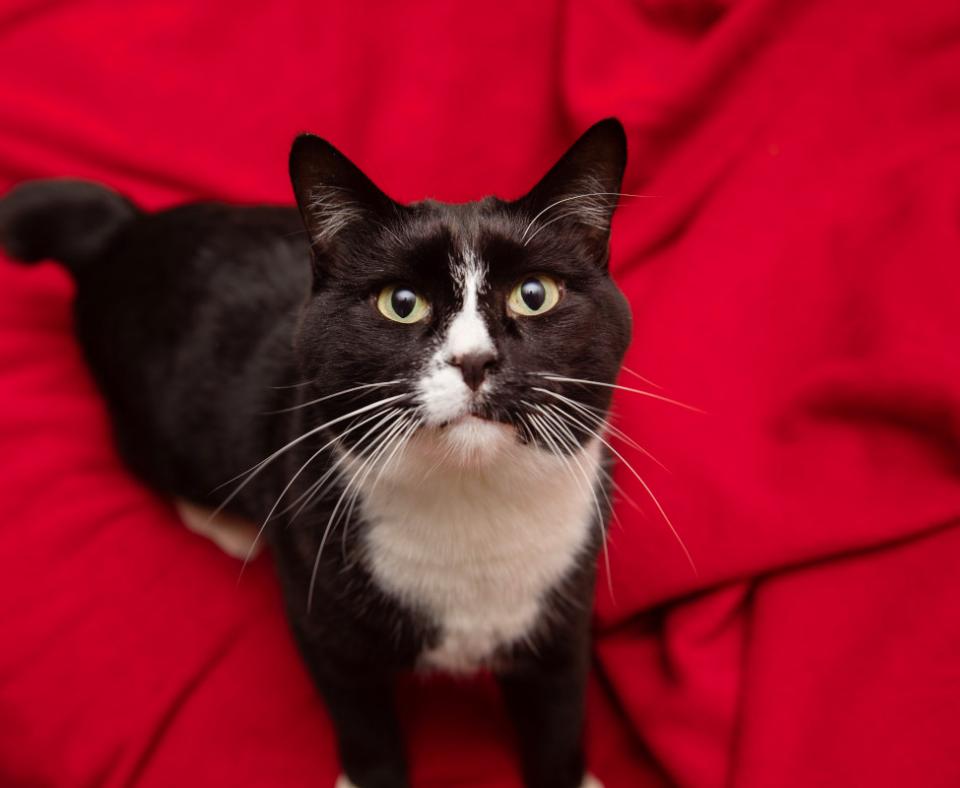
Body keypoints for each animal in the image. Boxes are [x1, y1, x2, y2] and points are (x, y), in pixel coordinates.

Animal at [1, 118, 636, 788]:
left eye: (533, 294)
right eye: (401, 302)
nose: (474, 360)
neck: (472, 506)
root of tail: (124, 230)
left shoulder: (565, 607)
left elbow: (559, 709)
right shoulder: (320, 616)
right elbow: (361, 717)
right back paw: (230, 527)